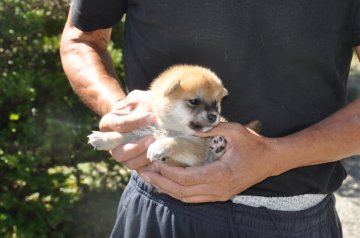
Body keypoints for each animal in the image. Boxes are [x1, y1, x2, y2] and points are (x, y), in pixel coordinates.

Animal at [87, 64, 260, 166]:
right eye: (194, 101)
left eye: (216, 104)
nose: (214, 117)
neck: (168, 126)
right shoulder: (141, 132)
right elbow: (123, 135)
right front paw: (104, 137)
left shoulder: (195, 147)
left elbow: (177, 141)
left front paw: (160, 146)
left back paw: (218, 145)